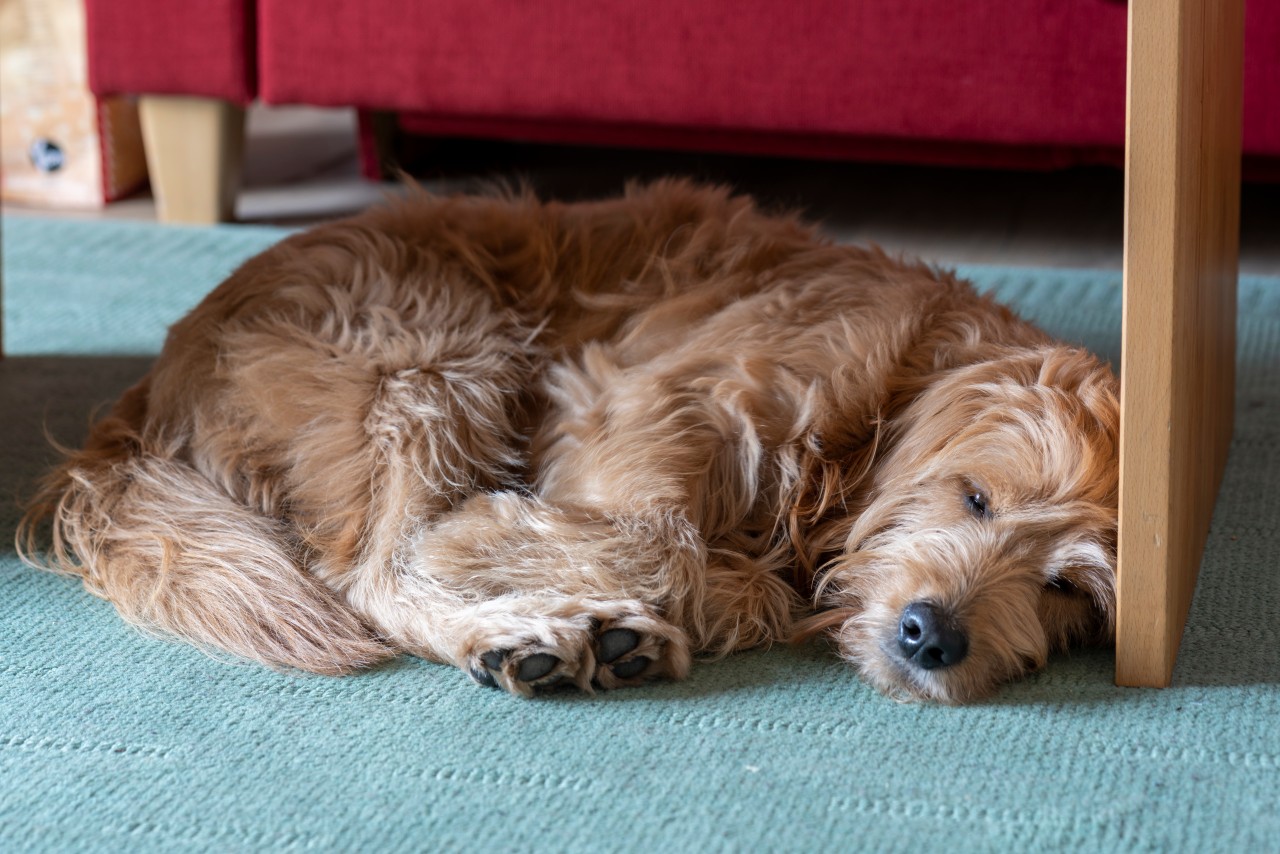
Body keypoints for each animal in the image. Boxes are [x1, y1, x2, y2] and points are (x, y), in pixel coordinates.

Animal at [20, 180, 1121, 701]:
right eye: (973, 496)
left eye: (1068, 590)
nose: (933, 636)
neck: (884, 403)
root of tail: (163, 372)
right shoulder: (645, 397)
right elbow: (663, 539)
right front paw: (490, 540)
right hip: (432, 352)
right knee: (372, 570)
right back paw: (521, 624)